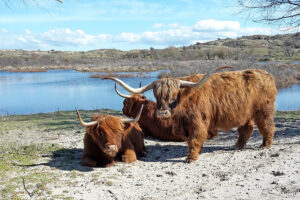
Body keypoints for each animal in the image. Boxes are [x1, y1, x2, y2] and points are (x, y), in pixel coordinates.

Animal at [106, 66, 278, 163]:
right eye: (157, 95)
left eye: (173, 96)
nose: (162, 113)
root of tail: (267, 74)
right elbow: (193, 140)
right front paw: (198, 152)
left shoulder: (197, 122)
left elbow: (195, 139)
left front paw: (191, 157)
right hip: (245, 112)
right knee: (247, 128)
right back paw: (238, 145)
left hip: (264, 110)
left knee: (267, 126)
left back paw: (265, 144)